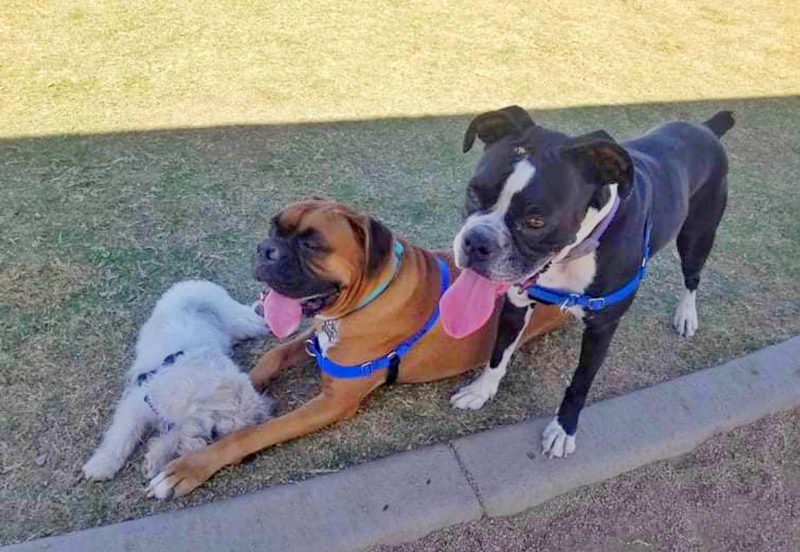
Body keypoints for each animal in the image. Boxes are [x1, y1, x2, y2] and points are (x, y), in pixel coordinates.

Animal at [83, 280, 274, 478]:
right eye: (215, 425)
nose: (210, 436)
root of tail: (197, 283)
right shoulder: (137, 405)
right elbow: (122, 435)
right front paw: (102, 464)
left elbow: (172, 437)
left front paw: (156, 458)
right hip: (240, 320)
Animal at [147, 199, 564, 500]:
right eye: (272, 227)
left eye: (311, 243)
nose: (264, 249)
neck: (366, 297)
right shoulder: (314, 338)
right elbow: (272, 355)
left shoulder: (332, 402)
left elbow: (251, 434)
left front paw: (190, 467)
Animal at [440, 105, 736, 460]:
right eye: (474, 192)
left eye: (535, 221)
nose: (477, 242)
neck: (574, 254)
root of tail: (706, 129)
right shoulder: (516, 303)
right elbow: (499, 352)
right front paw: (482, 390)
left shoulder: (601, 327)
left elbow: (580, 381)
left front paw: (563, 429)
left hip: (697, 236)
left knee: (692, 277)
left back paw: (686, 315)